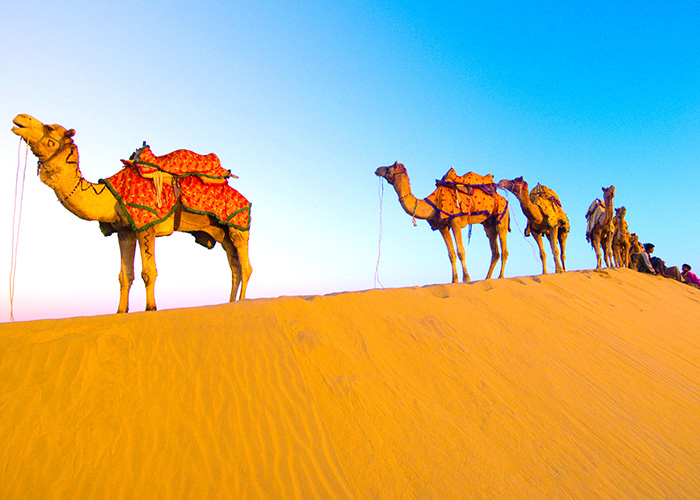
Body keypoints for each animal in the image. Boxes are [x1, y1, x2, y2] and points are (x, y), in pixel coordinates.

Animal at [11, 114, 252, 313]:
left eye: (50, 128)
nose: (19, 118)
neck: (110, 195)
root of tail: (244, 198)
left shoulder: (146, 225)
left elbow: (148, 272)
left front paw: (150, 308)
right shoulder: (125, 230)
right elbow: (124, 276)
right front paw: (120, 311)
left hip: (238, 226)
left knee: (245, 266)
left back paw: (241, 301)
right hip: (220, 231)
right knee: (234, 267)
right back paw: (231, 302)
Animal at [375, 162, 509, 283]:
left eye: (391, 166)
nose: (377, 169)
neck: (433, 203)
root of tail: (502, 197)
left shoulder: (455, 222)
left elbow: (461, 251)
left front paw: (466, 278)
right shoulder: (442, 226)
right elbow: (451, 254)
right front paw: (454, 280)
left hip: (501, 216)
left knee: (504, 248)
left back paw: (500, 277)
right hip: (488, 223)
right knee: (495, 251)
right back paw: (487, 278)